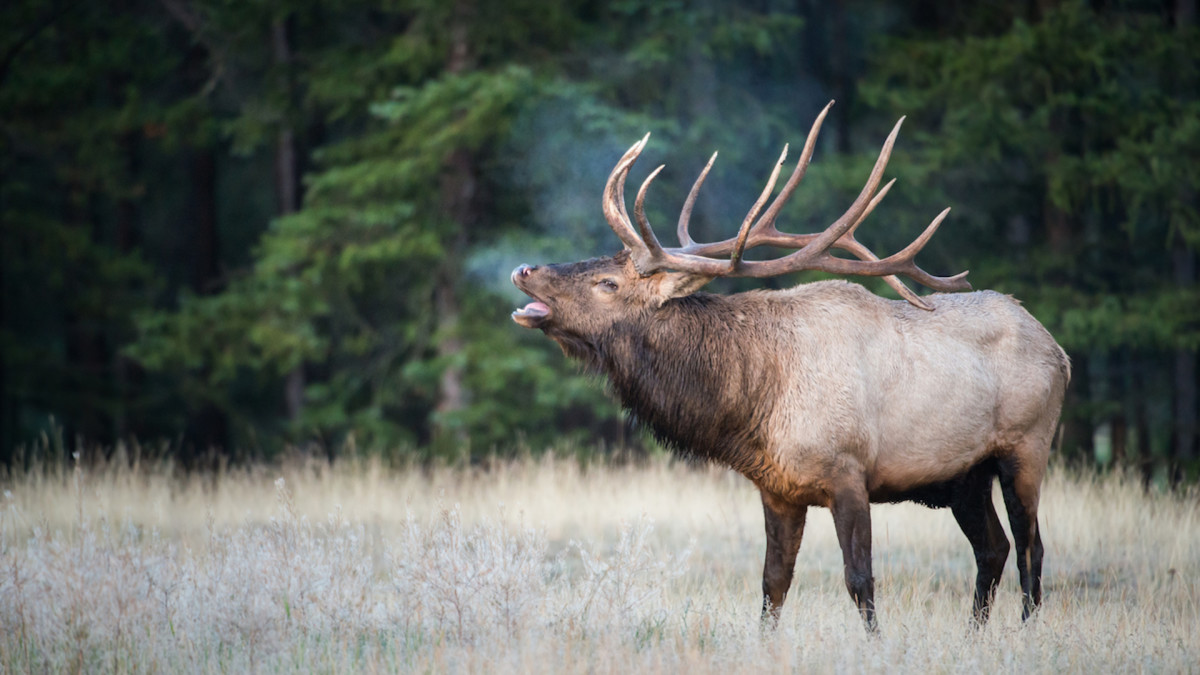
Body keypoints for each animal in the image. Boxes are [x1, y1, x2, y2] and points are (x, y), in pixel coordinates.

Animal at [511, 102, 1075, 629]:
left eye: (607, 283)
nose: (523, 269)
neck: (755, 401)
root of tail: (1061, 353)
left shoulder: (849, 471)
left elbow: (859, 580)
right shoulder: (778, 489)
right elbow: (773, 583)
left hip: (1026, 447)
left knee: (1031, 549)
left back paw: (1025, 632)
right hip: (965, 476)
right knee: (993, 549)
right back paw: (975, 634)